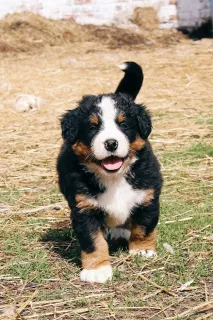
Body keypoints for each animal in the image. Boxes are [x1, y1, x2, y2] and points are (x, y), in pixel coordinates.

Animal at [57, 62, 162, 282]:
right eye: (92, 127)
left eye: (124, 124)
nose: (111, 143)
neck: (113, 178)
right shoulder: (84, 208)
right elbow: (93, 241)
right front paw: (96, 269)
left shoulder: (147, 197)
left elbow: (144, 227)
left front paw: (142, 250)